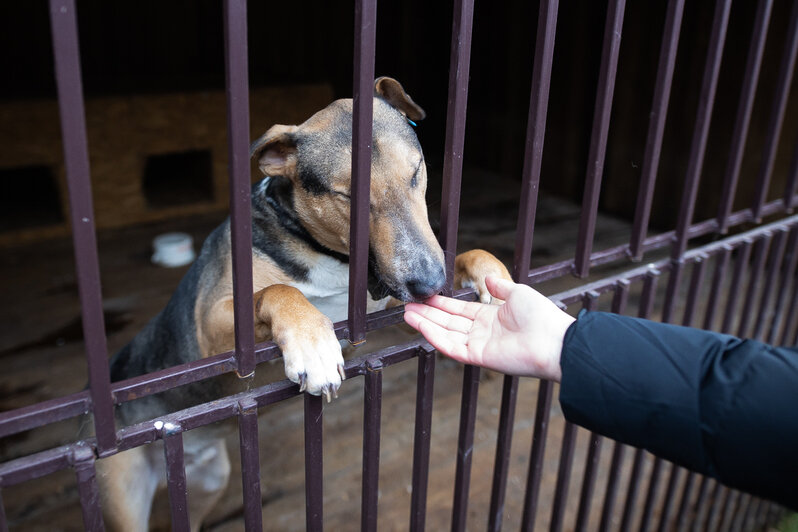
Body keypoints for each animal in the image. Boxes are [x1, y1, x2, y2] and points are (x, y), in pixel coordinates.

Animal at [98, 77, 512, 528]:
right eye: (347, 196)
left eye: (417, 171)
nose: (428, 285)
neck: (326, 255)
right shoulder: (214, 333)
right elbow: (281, 291)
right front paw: (313, 346)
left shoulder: (385, 307)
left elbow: (466, 259)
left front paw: (495, 280)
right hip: (123, 494)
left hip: (208, 480)